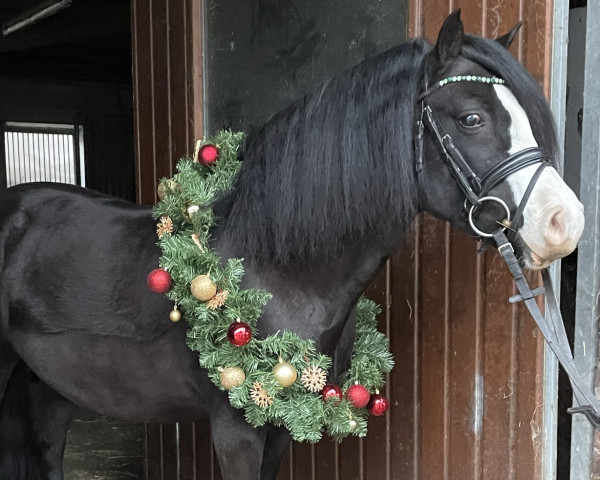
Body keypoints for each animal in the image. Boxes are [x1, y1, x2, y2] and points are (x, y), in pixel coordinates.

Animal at [0, 11, 584, 480]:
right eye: (471, 118)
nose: (566, 224)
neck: (274, 268)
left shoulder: (280, 426)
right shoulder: (237, 429)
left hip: (47, 385)